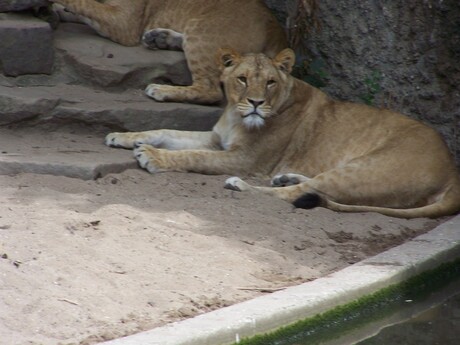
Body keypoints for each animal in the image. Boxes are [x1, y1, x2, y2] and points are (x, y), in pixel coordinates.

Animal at [50, 0, 288, 103]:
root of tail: (277, 30)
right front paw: (55, 11)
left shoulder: (126, 24)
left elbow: (85, 4)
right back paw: (159, 38)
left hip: (201, 32)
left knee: (210, 90)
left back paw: (160, 89)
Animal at [105, 47, 460, 218]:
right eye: (243, 79)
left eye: (271, 82)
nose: (256, 103)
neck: (235, 115)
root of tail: (452, 168)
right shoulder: (216, 138)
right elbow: (166, 130)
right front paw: (121, 137)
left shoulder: (244, 159)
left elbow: (192, 156)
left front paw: (151, 156)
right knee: (312, 186)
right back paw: (286, 177)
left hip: (367, 168)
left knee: (298, 194)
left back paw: (243, 186)